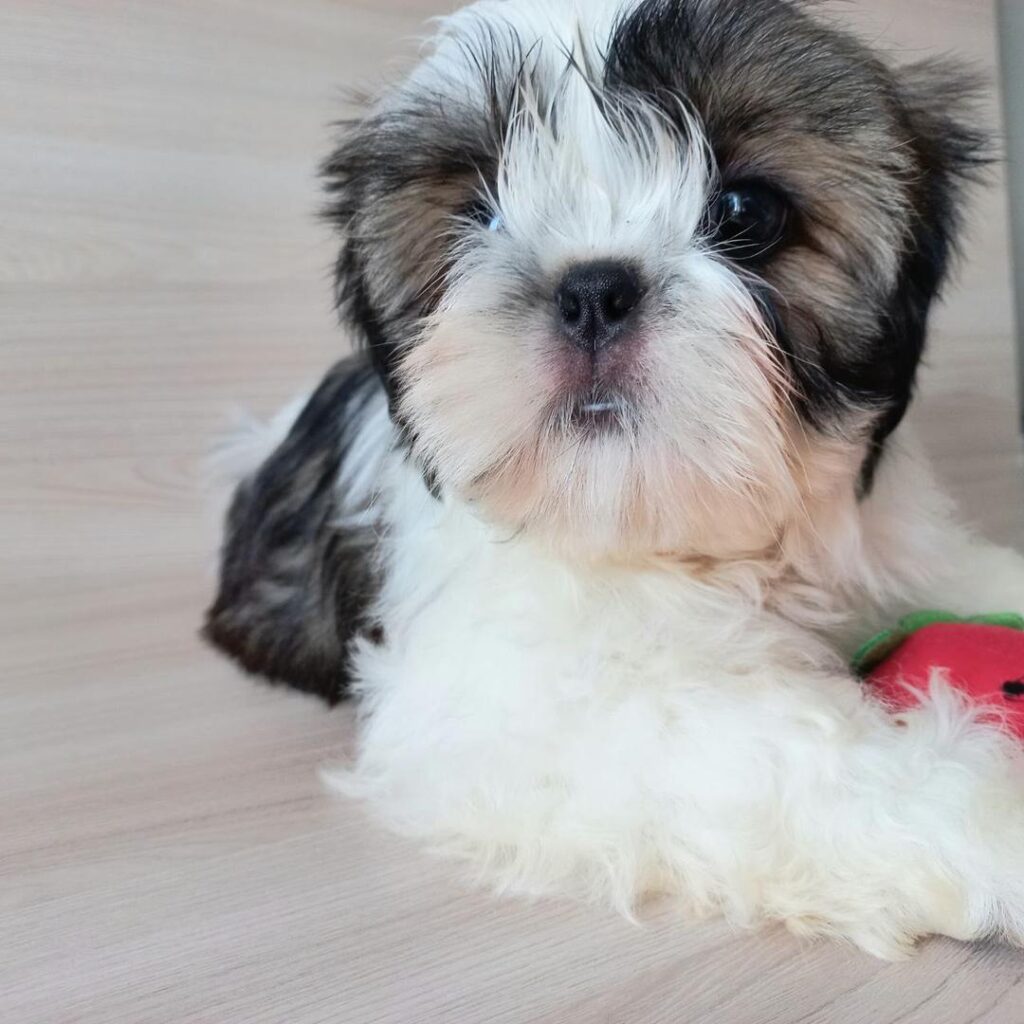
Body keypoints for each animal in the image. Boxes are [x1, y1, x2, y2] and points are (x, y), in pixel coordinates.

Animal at [205, 0, 1024, 958]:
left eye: (745, 211)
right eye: (480, 216)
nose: (593, 288)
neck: (691, 538)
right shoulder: (522, 706)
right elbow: (780, 750)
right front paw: (998, 826)